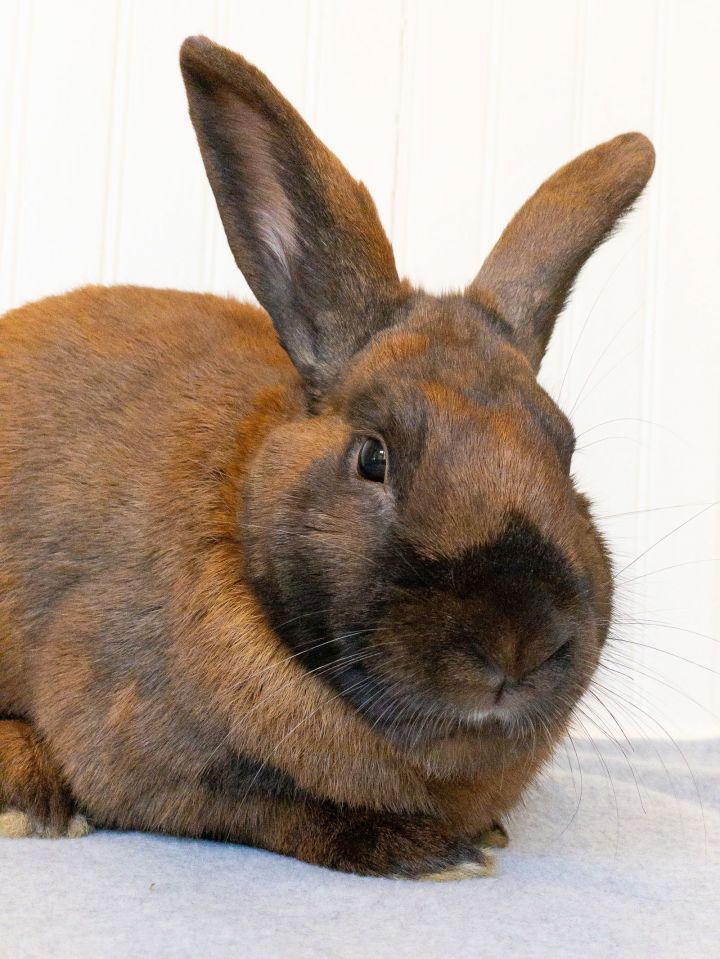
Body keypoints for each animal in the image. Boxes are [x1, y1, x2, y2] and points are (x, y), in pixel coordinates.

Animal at [0, 35, 654, 879]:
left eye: (565, 452)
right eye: (372, 457)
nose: (518, 641)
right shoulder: (141, 756)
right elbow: (272, 808)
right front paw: (432, 851)